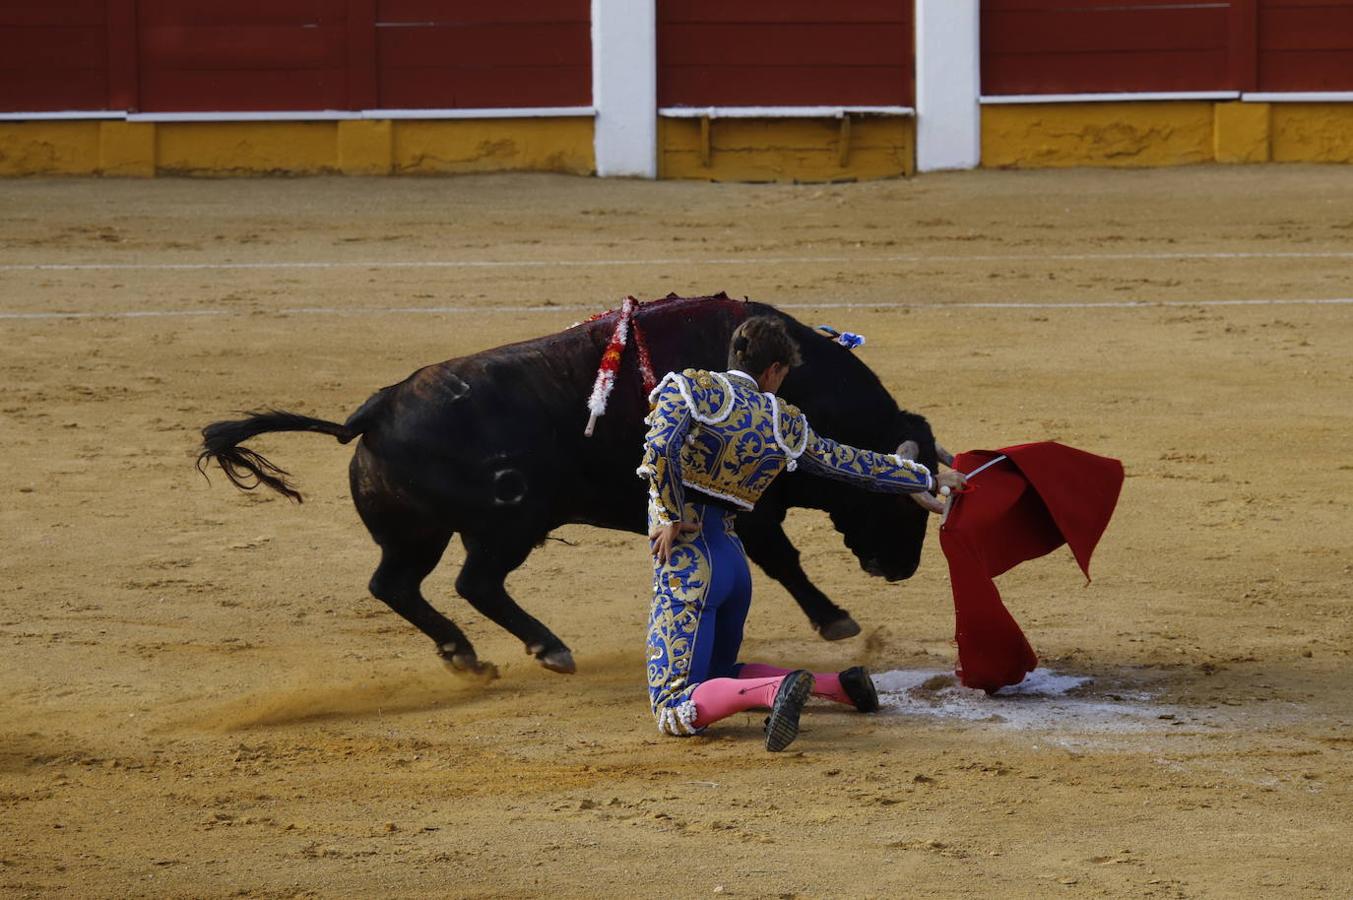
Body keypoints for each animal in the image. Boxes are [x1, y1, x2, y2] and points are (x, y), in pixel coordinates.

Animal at [200, 295, 947, 673]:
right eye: (901, 506)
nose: (901, 568)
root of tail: (375, 410)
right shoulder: (751, 502)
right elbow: (782, 559)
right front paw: (835, 619)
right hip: (509, 522)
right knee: (474, 582)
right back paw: (547, 648)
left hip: (420, 533)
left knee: (395, 585)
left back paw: (465, 655)